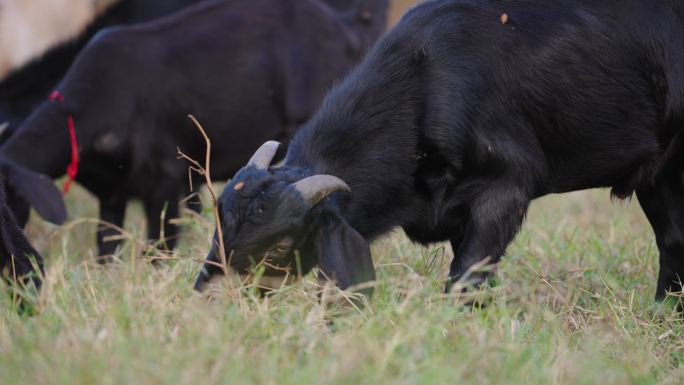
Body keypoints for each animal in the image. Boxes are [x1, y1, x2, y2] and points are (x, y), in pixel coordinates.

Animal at [196, 0, 684, 302]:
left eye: (281, 246)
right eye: (220, 224)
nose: (213, 297)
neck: (424, 78)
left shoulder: (504, 191)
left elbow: (465, 278)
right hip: (660, 175)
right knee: (673, 240)